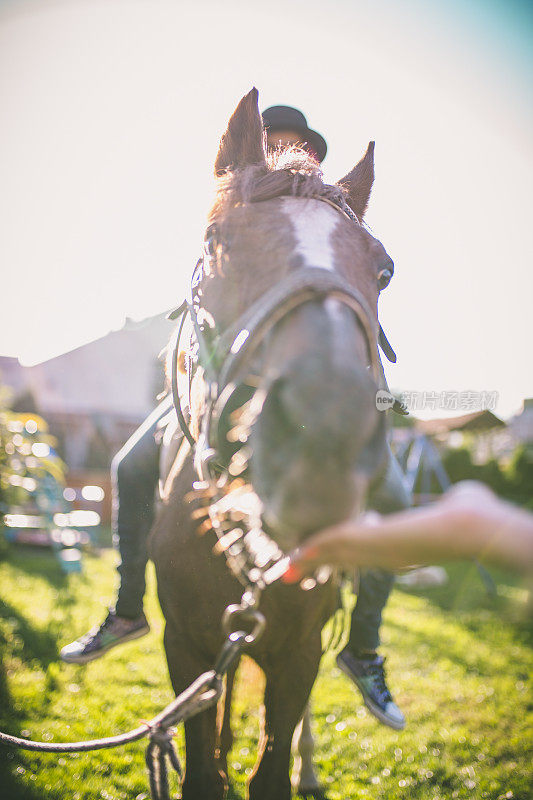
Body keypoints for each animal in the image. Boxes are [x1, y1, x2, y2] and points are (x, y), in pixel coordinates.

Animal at [149, 90, 390, 796]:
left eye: (384, 271)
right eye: (215, 241)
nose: (320, 440)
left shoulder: (299, 651)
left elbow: (273, 768)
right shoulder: (186, 646)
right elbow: (205, 768)